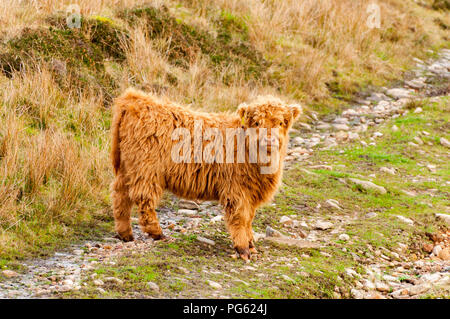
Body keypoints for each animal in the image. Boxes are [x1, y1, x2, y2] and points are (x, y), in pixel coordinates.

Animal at [111, 89, 302, 262]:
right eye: (256, 122)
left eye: (280, 122)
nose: (269, 140)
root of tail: (136, 99)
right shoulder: (237, 190)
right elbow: (240, 218)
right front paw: (243, 249)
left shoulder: (251, 193)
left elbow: (249, 219)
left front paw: (251, 245)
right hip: (146, 169)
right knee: (143, 199)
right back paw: (157, 233)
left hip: (127, 167)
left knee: (121, 197)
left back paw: (125, 234)